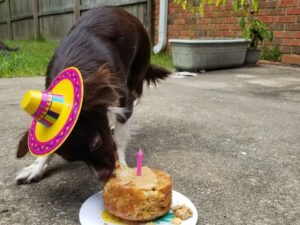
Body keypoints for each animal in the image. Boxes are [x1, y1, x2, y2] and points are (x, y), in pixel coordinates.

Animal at [16, 6, 170, 184]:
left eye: (96, 143)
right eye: (72, 159)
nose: (105, 176)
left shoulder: (124, 99)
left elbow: (119, 137)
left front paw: (122, 167)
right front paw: (37, 166)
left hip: (138, 68)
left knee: (136, 97)